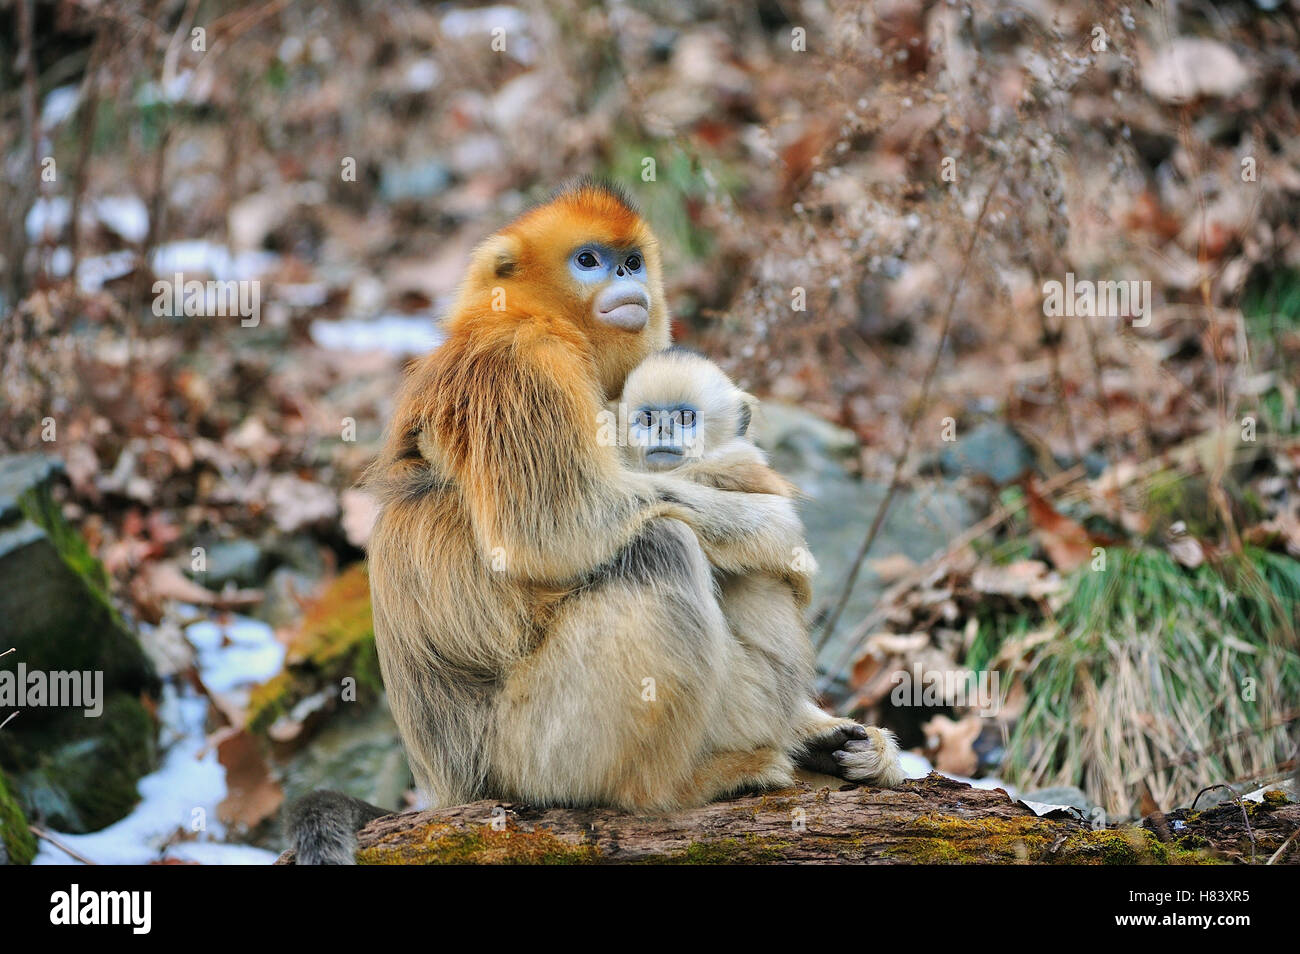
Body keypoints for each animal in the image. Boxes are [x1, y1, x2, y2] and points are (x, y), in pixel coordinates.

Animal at [289, 180, 901, 863]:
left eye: (632, 262)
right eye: (589, 261)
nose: (627, 281)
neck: (534, 318)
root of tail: (449, 788)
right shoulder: (522, 363)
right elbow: (554, 527)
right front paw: (777, 530)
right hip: (528, 754)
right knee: (662, 546)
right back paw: (684, 786)